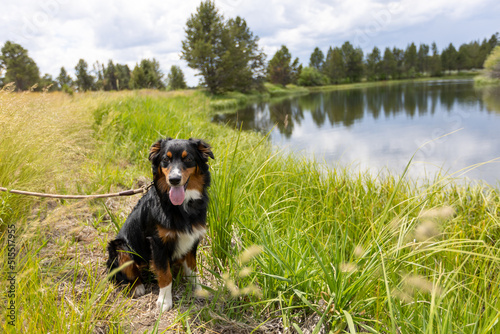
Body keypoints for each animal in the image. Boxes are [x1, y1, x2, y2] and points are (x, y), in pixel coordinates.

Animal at [106, 137, 214, 312]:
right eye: (165, 159)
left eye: (188, 159)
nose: (174, 180)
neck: (182, 206)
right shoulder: (158, 242)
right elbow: (164, 274)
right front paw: (164, 301)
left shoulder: (192, 239)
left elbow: (193, 269)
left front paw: (198, 290)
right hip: (120, 247)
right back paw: (137, 287)